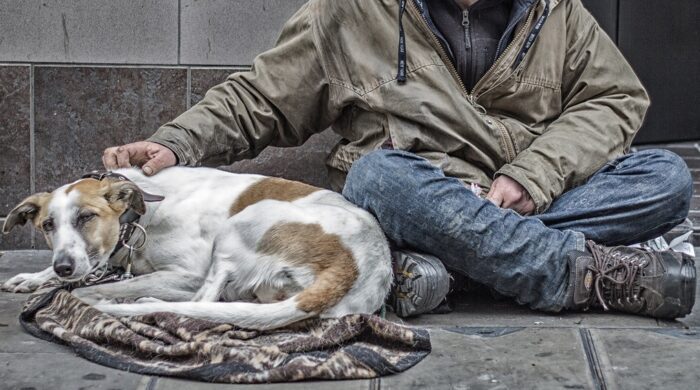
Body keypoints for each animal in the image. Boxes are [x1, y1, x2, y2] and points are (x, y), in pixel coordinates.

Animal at [1, 168, 394, 330]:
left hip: (241, 226)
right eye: (47, 225)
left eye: (86, 217)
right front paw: (34, 277)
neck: (144, 213)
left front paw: (81, 294)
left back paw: (145, 305)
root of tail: (355, 265)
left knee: (202, 304)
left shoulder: (187, 274)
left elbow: (111, 284)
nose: (64, 268)